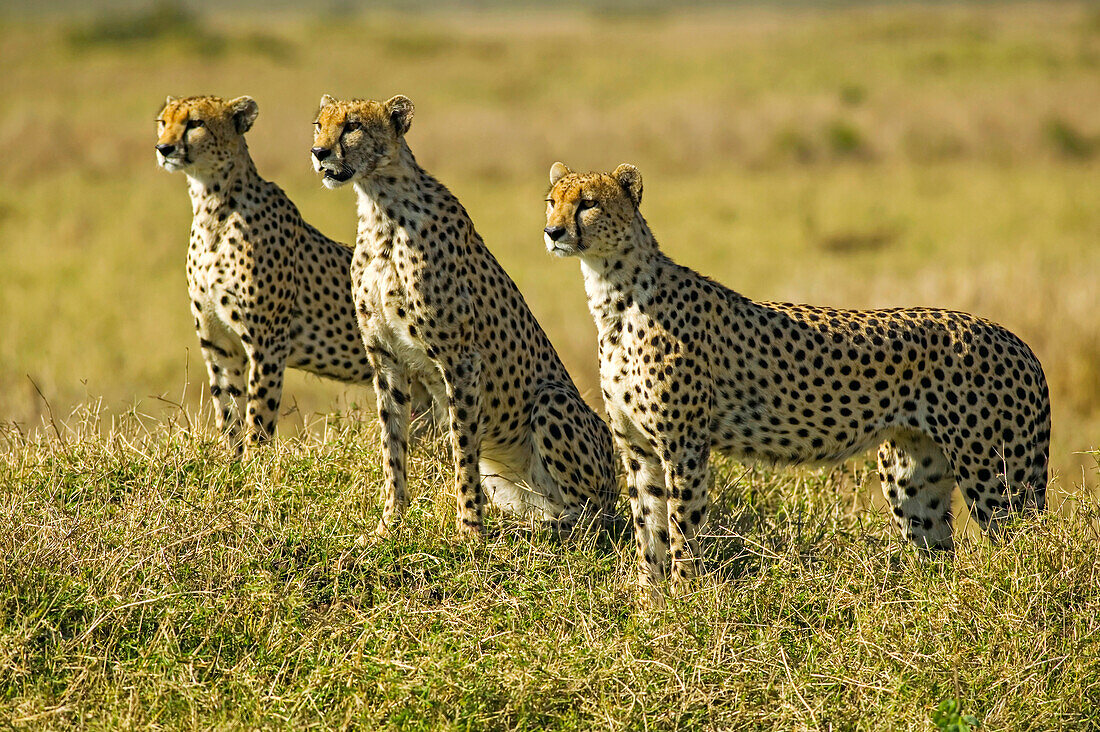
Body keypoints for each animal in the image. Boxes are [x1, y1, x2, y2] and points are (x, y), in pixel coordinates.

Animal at [156, 94, 413, 451]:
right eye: (163, 122)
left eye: (195, 123)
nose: (163, 148)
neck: (212, 206)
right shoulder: (218, 342)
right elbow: (228, 411)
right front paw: (230, 459)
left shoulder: (268, 342)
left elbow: (259, 412)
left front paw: (254, 462)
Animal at [310, 94, 620, 534]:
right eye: (319, 124)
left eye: (353, 126)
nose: (319, 152)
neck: (380, 206)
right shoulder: (385, 359)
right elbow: (393, 445)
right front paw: (390, 523)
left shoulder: (461, 361)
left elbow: (462, 447)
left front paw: (469, 530)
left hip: (553, 401)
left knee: (593, 519)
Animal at [545, 162, 1051, 598]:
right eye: (551, 201)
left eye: (588, 203)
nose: (552, 232)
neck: (615, 295)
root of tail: (1015, 339)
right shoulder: (638, 449)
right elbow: (647, 526)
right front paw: (650, 601)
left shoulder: (683, 445)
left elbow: (681, 525)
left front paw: (686, 599)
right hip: (912, 479)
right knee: (940, 552)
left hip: (996, 476)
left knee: (1030, 547)